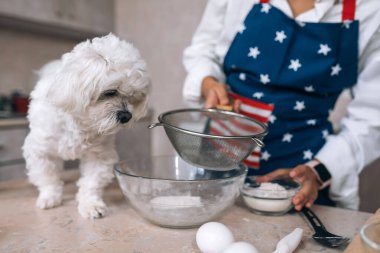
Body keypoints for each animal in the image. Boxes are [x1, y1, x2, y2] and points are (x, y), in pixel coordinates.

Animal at [21, 34, 150, 219]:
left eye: (133, 96)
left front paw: (91, 205)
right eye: (110, 92)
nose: (127, 116)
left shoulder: (99, 156)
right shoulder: (42, 151)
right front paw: (50, 197)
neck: (80, 124)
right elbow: (48, 178)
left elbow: (91, 184)